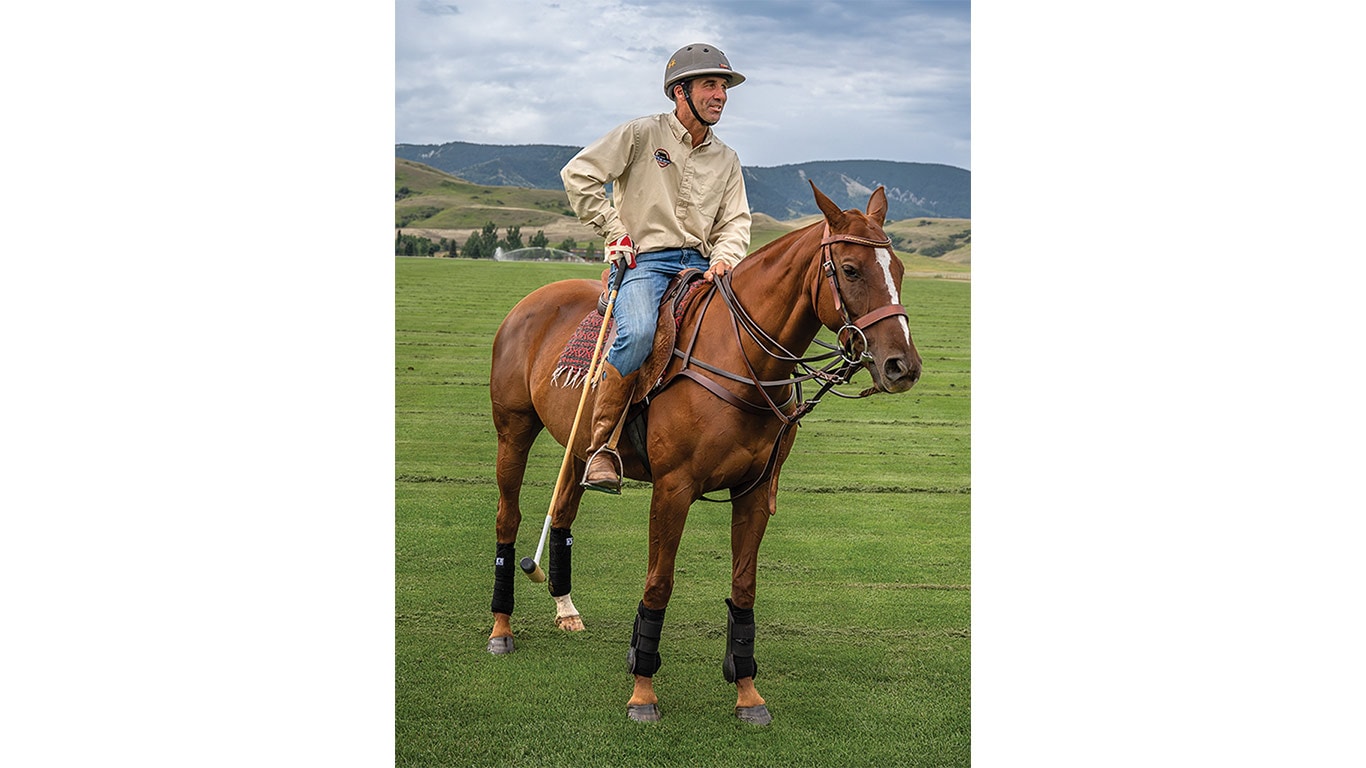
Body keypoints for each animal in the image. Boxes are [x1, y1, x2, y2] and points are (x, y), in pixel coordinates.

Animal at [485, 181, 922, 725]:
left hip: (578, 446)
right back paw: (500, 629)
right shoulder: (673, 488)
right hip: (513, 429)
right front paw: (643, 691)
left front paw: (748, 693)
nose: (903, 365)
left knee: (562, 511)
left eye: (898, 269)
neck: (743, 362)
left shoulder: (754, 492)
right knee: (508, 517)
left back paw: (566, 611)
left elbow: (744, 589)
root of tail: (531, 300)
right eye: (850, 269)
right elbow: (658, 584)